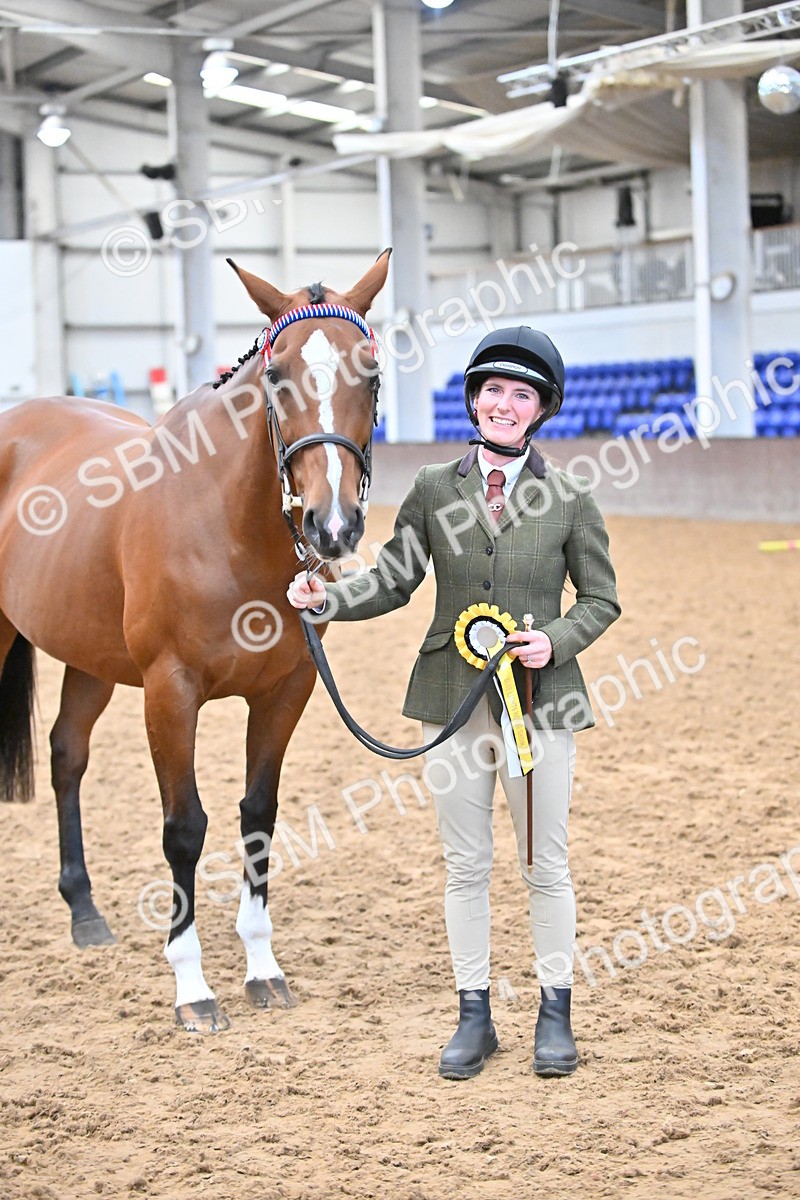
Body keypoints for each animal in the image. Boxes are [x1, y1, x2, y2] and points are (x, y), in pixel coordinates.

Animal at [0, 248, 391, 1033]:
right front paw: (193, 988)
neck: (227, 526)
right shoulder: (169, 691)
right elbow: (184, 828)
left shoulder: (287, 690)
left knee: (66, 756)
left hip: (90, 658)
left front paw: (264, 970)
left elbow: (258, 818)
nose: (332, 526)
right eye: (277, 377)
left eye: (370, 373)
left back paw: (84, 913)